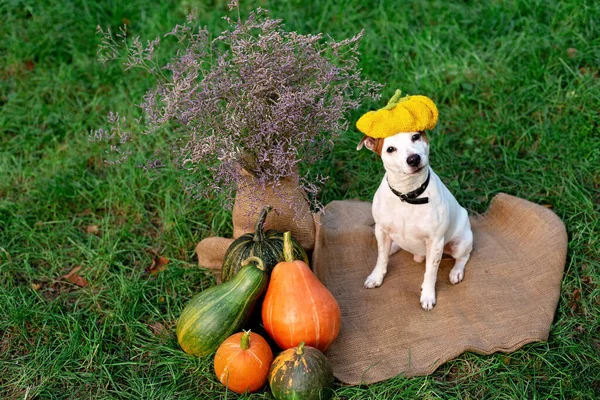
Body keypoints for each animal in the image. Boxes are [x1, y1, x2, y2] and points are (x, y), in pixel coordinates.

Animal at [356, 130, 474, 310]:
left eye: (415, 136)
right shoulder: (381, 230)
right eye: (390, 149)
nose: (413, 159)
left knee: (464, 256)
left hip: (460, 244)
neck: (408, 195)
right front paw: (376, 277)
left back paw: (456, 272)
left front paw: (428, 296)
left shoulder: (435, 242)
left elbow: (430, 273)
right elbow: (381, 258)